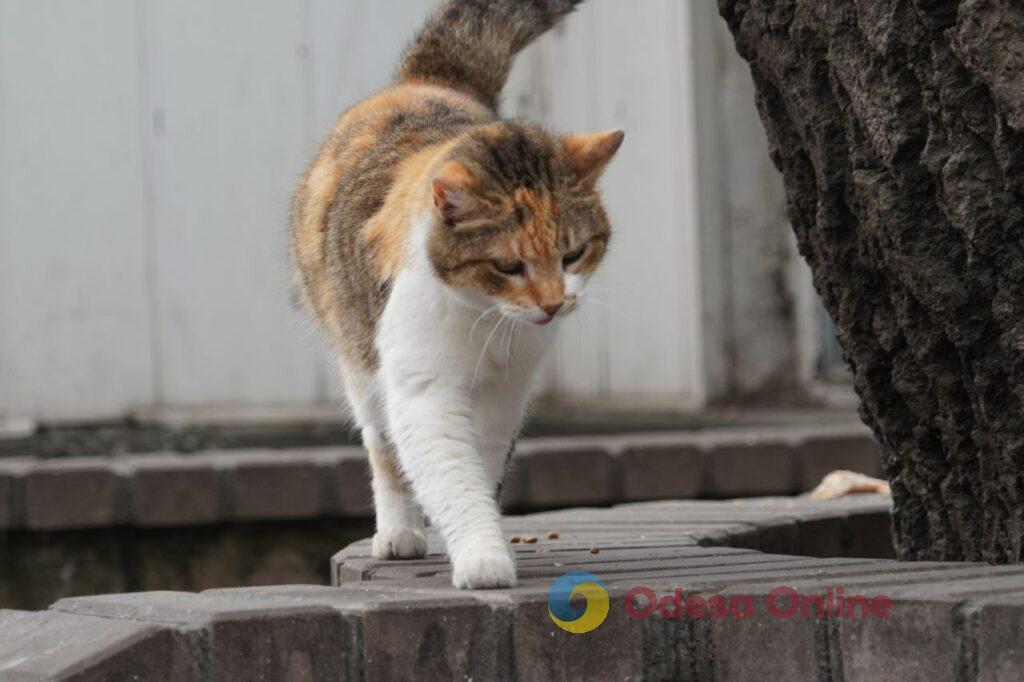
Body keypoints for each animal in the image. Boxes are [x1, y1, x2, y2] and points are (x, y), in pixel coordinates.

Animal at [290, 0, 622, 585]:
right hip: (359, 360)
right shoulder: (422, 388)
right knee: (382, 446)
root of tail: (425, 81)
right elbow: (447, 468)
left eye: (574, 253)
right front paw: (482, 559)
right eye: (508, 264)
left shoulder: (507, 389)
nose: (553, 303)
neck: (485, 319)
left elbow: (481, 466)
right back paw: (399, 533)